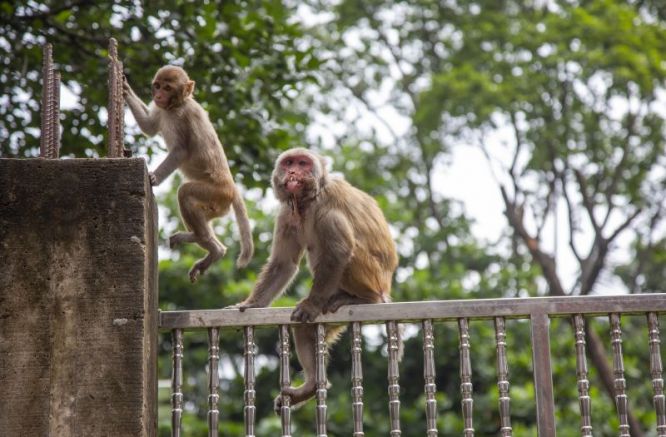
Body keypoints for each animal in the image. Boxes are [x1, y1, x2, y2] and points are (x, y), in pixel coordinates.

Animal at [124, 66, 252, 282]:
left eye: (168, 88)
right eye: (157, 85)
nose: (158, 95)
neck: (176, 106)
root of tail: (232, 188)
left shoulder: (182, 117)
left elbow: (180, 151)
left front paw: (154, 177)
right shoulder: (162, 110)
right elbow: (149, 126)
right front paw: (124, 88)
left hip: (215, 194)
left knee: (185, 193)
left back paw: (203, 241)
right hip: (217, 207)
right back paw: (214, 249)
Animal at [231, 147, 396, 408]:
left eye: (303, 163)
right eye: (289, 163)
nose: (293, 172)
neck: (307, 201)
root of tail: (385, 286)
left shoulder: (326, 200)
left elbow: (338, 251)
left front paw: (311, 304)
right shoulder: (286, 213)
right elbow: (283, 264)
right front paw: (251, 304)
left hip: (371, 276)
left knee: (335, 230)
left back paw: (363, 299)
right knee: (305, 331)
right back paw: (311, 386)